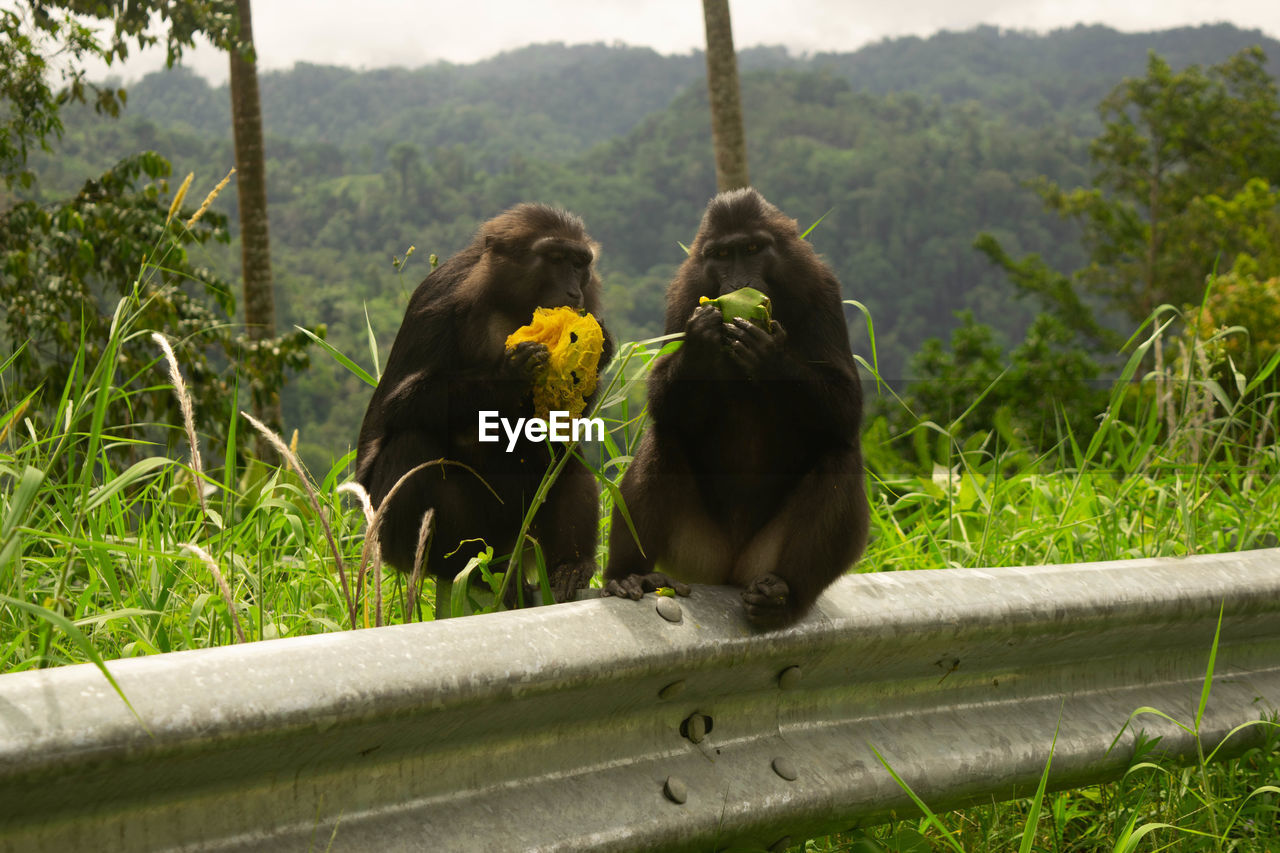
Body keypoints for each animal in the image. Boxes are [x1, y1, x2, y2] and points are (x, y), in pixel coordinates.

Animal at [355, 204, 614, 604]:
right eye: (556, 259)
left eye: (578, 263)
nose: (573, 291)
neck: (509, 304)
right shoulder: (438, 301)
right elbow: (395, 406)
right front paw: (508, 374)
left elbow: (560, 423)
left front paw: (595, 355)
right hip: (418, 535)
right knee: (411, 447)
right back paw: (465, 567)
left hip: (521, 534)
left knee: (563, 455)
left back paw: (569, 566)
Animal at [601, 188, 870, 625]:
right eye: (723, 255)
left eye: (752, 249)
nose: (739, 282)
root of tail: (730, 567)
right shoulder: (686, 291)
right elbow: (663, 399)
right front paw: (701, 343)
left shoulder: (821, 288)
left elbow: (846, 407)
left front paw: (770, 356)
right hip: (696, 552)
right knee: (666, 435)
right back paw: (630, 575)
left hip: (761, 558)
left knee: (839, 451)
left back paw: (783, 597)